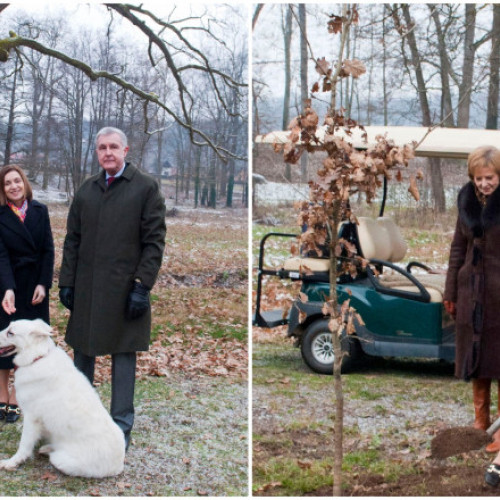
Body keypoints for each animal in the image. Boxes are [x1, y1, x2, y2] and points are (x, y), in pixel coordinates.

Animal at [0, 318, 126, 478]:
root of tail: (118, 466)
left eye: (10, 333)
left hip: (59, 459)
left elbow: (24, 445)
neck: (37, 358)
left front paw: (12, 462)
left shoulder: (31, 417)